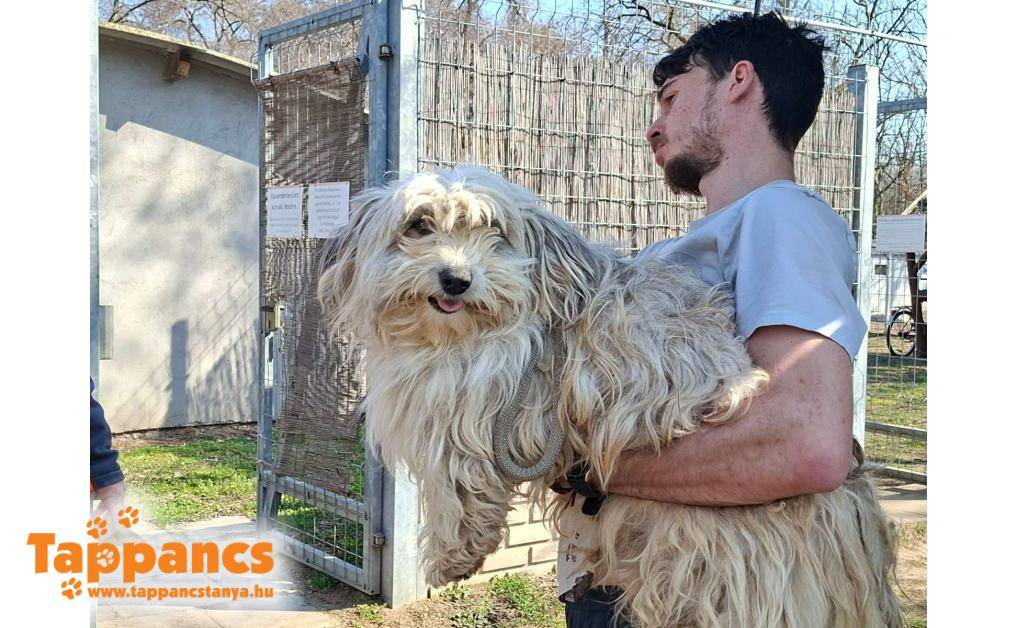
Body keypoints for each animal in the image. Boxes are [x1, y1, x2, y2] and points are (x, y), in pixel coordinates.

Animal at [318, 166, 901, 627]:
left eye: (493, 232)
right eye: (418, 225)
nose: (457, 279)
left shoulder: (470, 409)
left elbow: (457, 486)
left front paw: (453, 555)